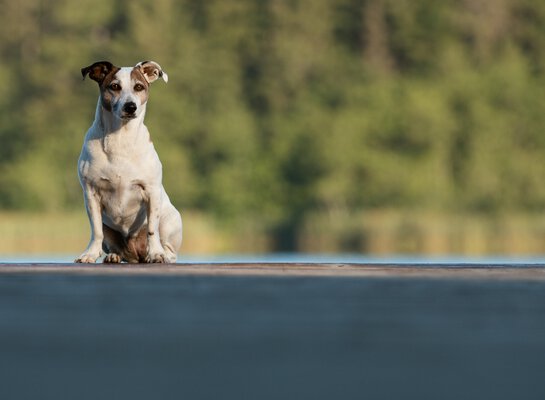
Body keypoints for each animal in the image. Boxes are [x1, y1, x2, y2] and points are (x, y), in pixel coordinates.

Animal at [74, 61, 183, 264]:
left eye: (138, 87)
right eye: (115, 86)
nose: (130, 106)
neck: (120, 138)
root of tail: (135, 253)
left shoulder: (151, 191)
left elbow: (152, 230)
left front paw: (156, 254)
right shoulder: (91, 194)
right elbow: (96, 231)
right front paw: (89, 254)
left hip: (170, 219)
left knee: (168, 247)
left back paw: (161, 254)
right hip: (110, 229)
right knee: (112, 243)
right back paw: (113, 255)